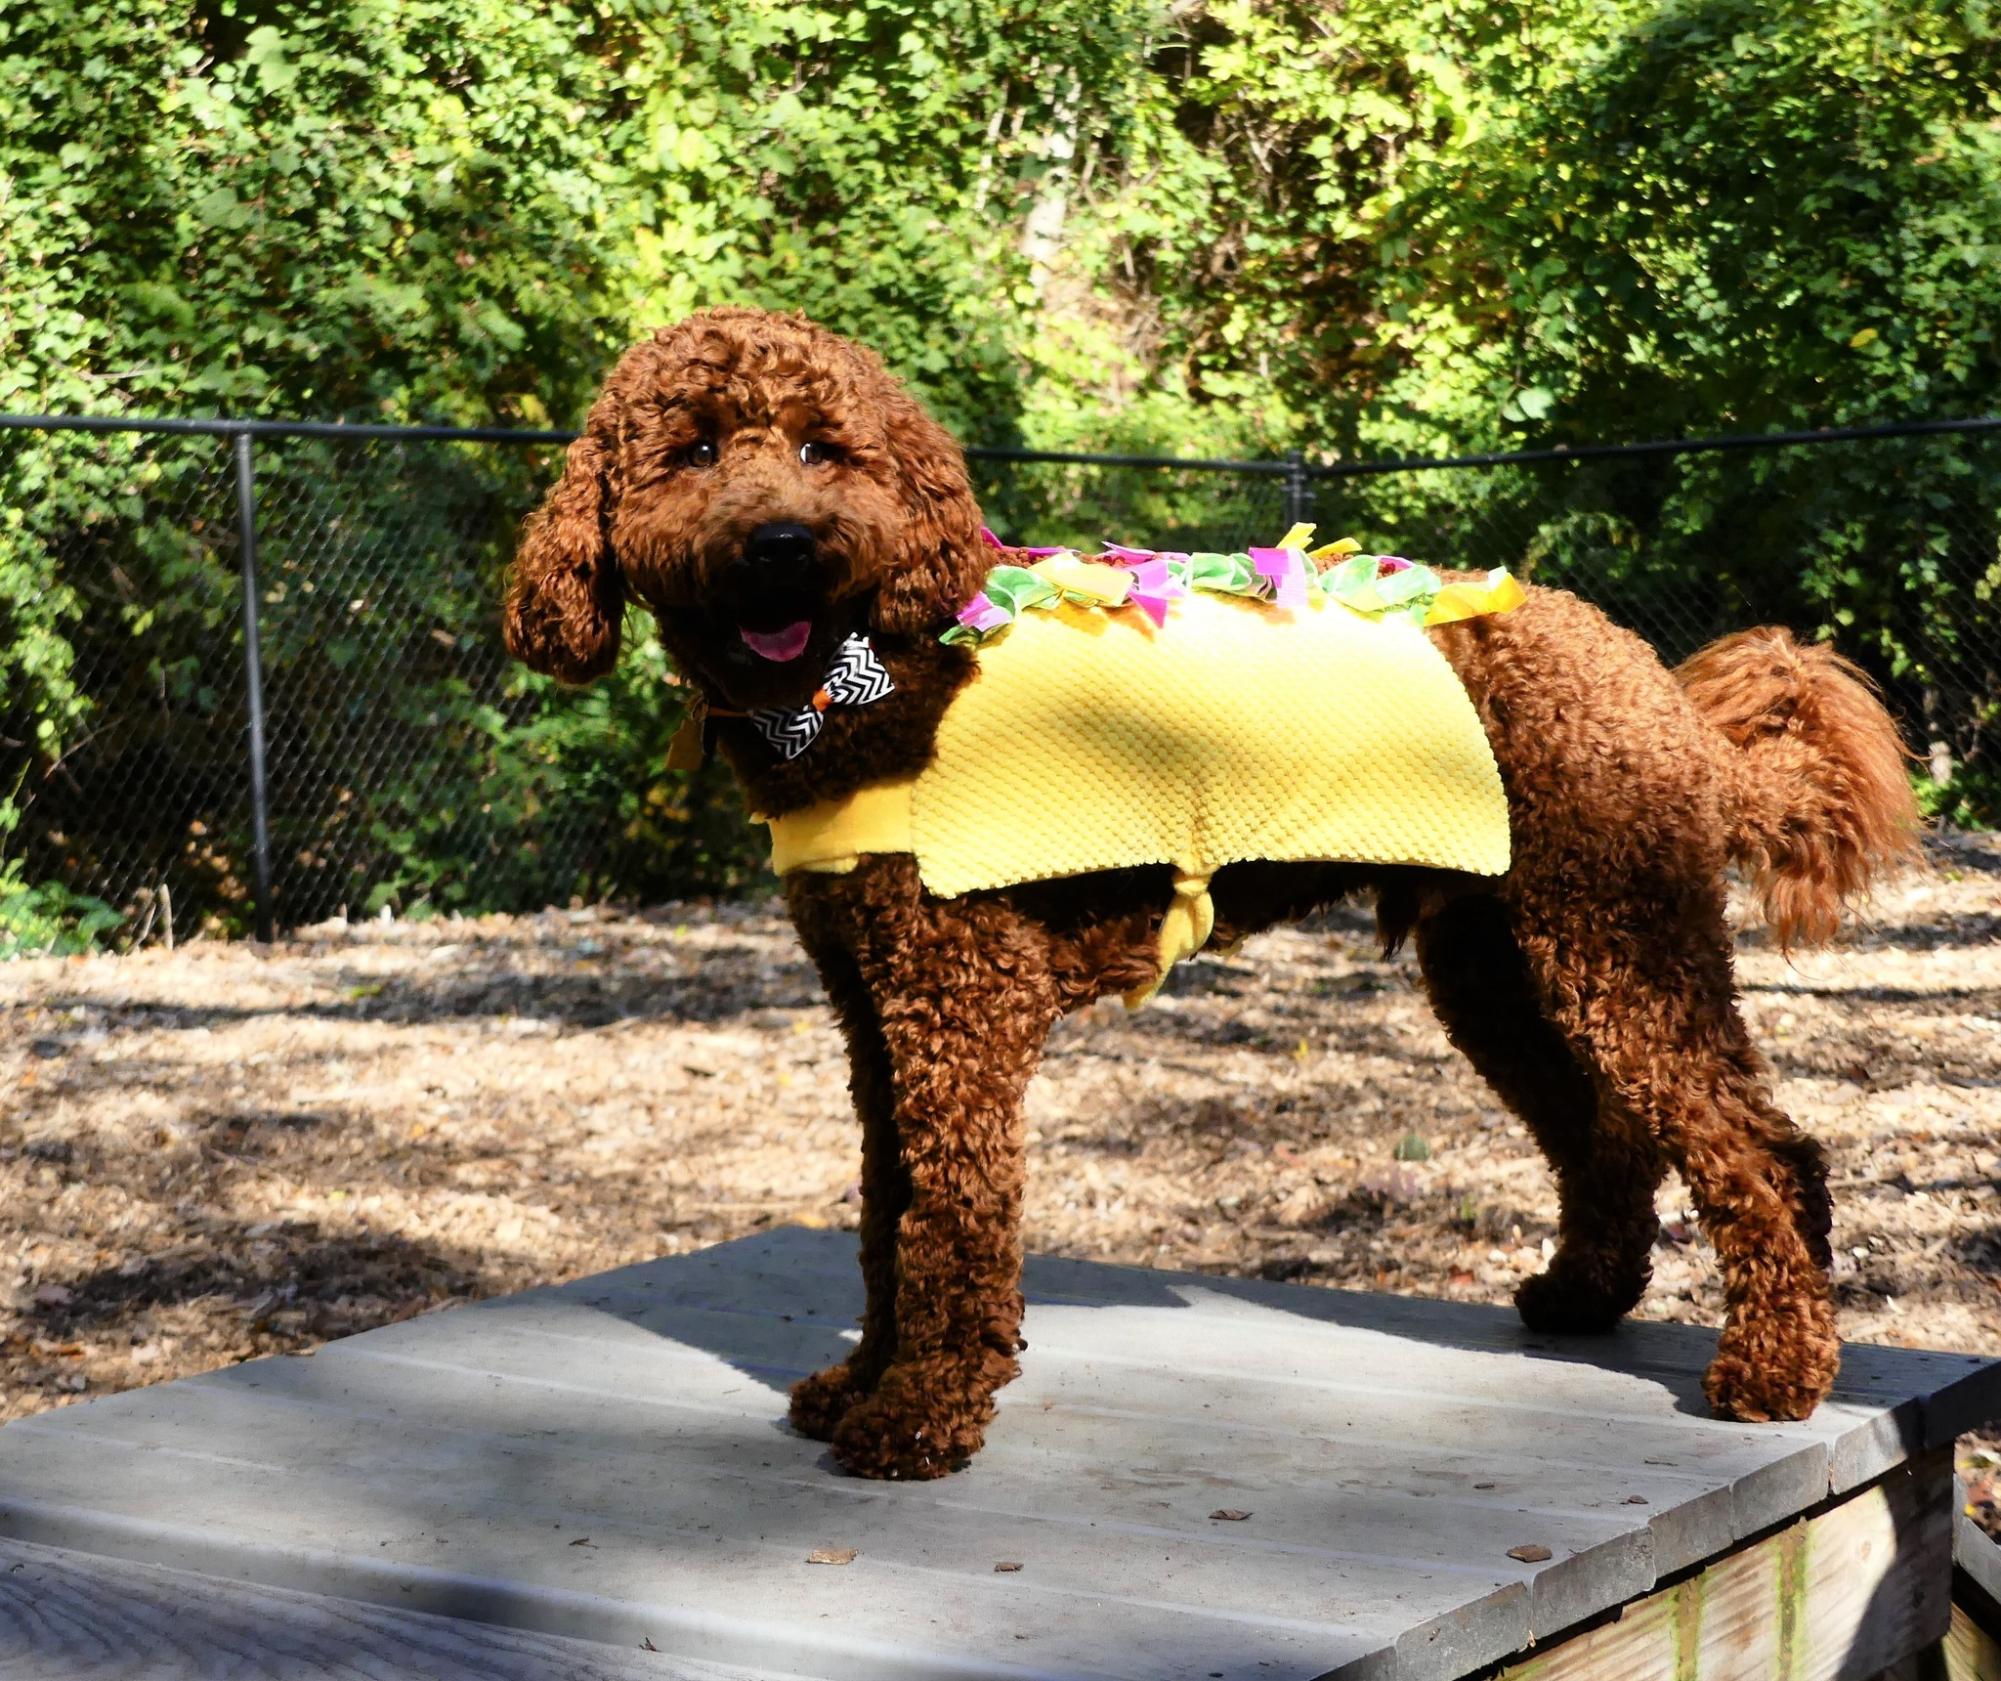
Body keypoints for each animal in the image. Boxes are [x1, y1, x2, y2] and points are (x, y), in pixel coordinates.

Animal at [500, 308, 1920, 1480]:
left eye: (821, 446)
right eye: (690, 451)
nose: (784, 544)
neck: (871, 673)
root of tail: (1651, 680)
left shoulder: (961, 1007)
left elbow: (949, 1225)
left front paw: (918, 1415)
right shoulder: (874, 1011)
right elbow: (885, 1218)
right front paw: (862, 1381)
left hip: (1617, 931)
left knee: (1762, 1149)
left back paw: (1778, 1368)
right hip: (1504, 963)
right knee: (1609, 1137)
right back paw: (1583, 1298)